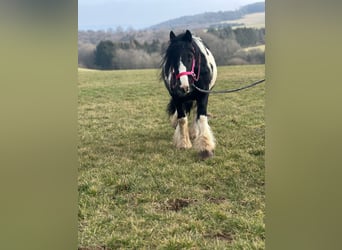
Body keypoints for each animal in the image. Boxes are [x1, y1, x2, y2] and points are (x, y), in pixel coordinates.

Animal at [160, 29, 216, 158]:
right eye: (172, 58)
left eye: (190, 56)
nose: (183, 87)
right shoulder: (177, 97)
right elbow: (182, 119)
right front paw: (184, 143)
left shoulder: (203, 95)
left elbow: (201, 117)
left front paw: (205, 147)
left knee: (196, 113)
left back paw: (195, 133)